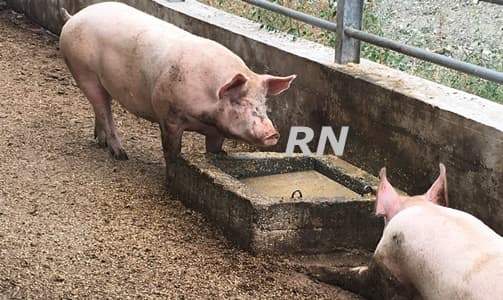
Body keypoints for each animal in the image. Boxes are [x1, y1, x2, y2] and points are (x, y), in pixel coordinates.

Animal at [58, 2, 296, 175]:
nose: (272, 133)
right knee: (103, 109)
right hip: (83, 71)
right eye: (239, 101)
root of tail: (73, 18)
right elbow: (172, 150)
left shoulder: (217, 130)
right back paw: (121, 155)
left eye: (263, 103)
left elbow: (215, 152)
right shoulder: (168, 114)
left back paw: (101, 142)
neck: (207, 115)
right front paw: (173, 172)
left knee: (101, 108)